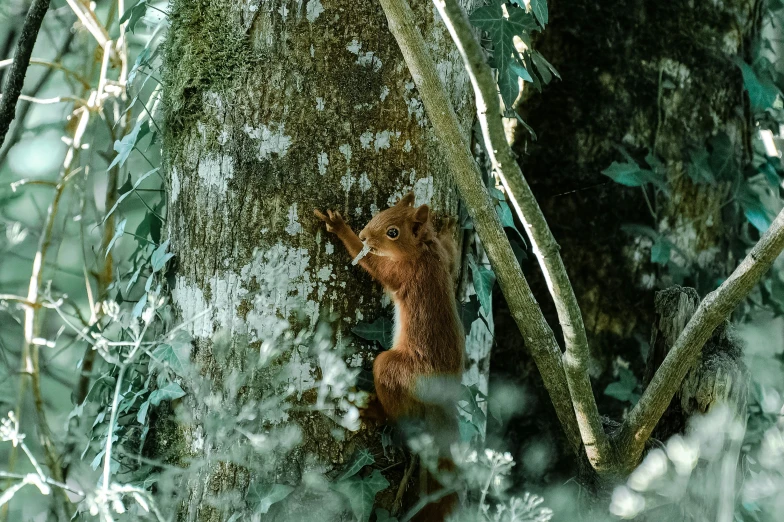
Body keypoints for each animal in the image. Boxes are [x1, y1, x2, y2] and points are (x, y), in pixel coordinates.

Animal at [314, 193, 462, 516]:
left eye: (393, 232)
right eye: (383, 211)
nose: (364, 235)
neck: (423, 251)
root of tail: (445, 390)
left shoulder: (402, 272)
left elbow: (372, 264)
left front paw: (341, 228)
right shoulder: (444, 259)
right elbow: (453, 259)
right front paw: (447, 227)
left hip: (398, 368)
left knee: (395, 410)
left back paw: (372, 410)